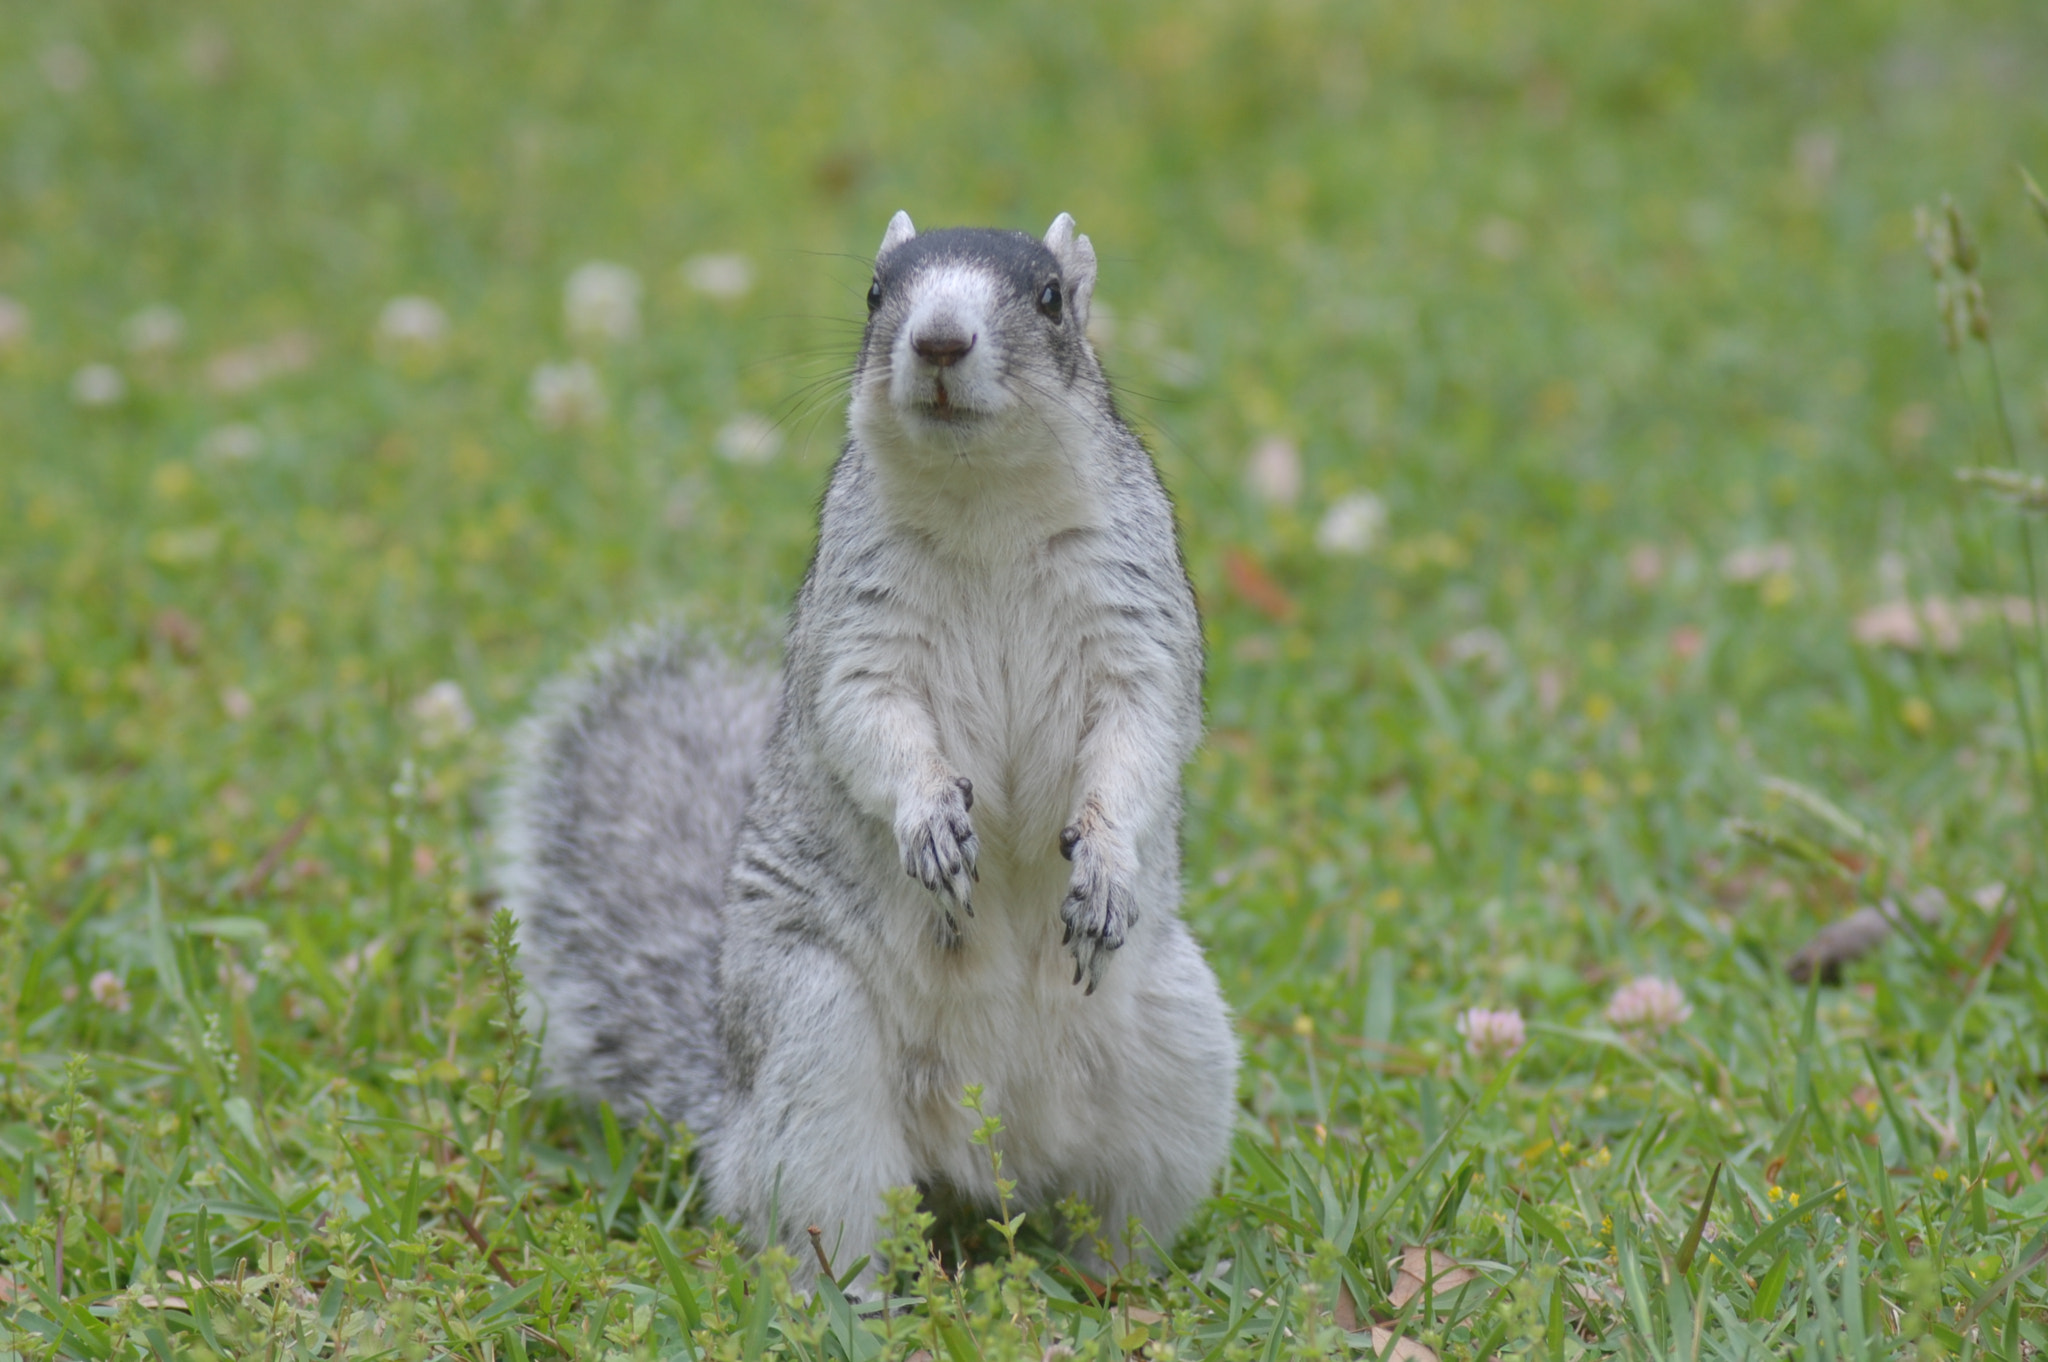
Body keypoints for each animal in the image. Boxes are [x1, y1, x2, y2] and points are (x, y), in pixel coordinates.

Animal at [498, 212, 1239, 1288]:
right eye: (875, 293)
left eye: (1051, 297)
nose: (938, 340)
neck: (983, 498)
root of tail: (992, 1141)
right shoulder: (857, 630)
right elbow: (866, 719)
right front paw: (929, 820)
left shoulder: (1137, 619)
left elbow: (1141, 734)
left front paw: (1103, 861)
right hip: (814, 1047)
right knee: (826, 1215)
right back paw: (859, 1301)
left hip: (1181, 1049)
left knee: (1116, 1212)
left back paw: (1125, 1288)